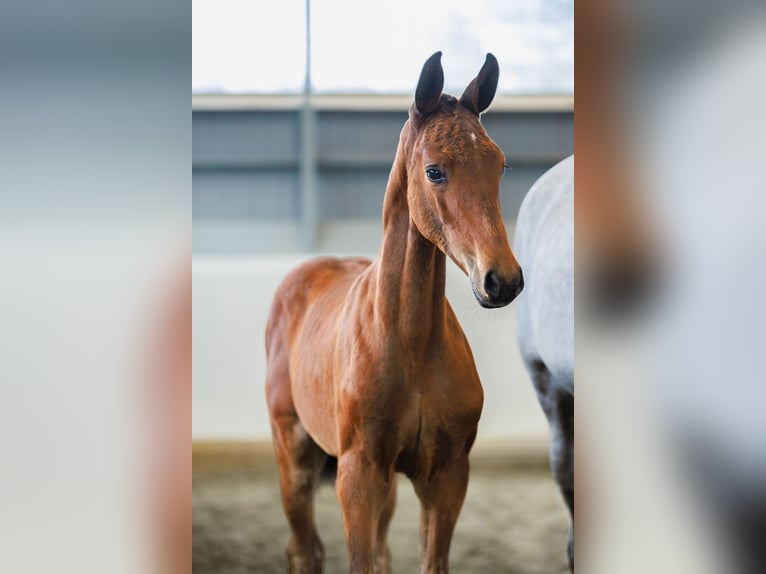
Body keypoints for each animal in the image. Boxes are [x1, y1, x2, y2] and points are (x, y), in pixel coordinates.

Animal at [268, 50, 524, 574]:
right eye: (434, 171)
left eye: (501, 165)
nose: (502, 280)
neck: (409, 344)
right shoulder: (358, 476)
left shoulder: (445, 476)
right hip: (294, 455)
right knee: (304, 549)